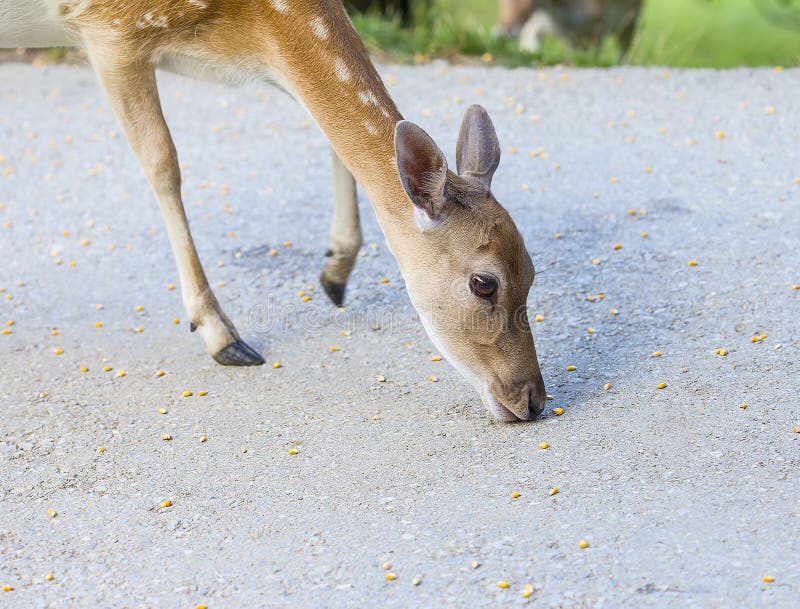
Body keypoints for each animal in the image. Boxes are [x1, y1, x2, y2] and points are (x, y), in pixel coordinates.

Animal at [0, 0, 547, 422]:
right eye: (483, 282)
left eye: (533, 270)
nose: (534, 400)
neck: (244, 27)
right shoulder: (109, 32)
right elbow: (163, 165)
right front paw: (222, 335)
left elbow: (328, 137)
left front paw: (335, 270)